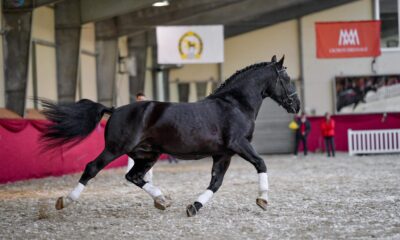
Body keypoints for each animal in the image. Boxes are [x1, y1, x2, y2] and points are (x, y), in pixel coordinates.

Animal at [42, 55, 302, 217]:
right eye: (286, 78)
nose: (296, 105)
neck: (235, 104)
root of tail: (114, 110)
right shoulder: (239, 144)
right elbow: (261, 163)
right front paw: (263, 200)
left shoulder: (223, 154)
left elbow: (216, 182)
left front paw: (194, 207)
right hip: (115, 149)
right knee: (92, 168)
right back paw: (65, 201)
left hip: (147, 155)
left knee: (134, 176)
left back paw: (162, 200)